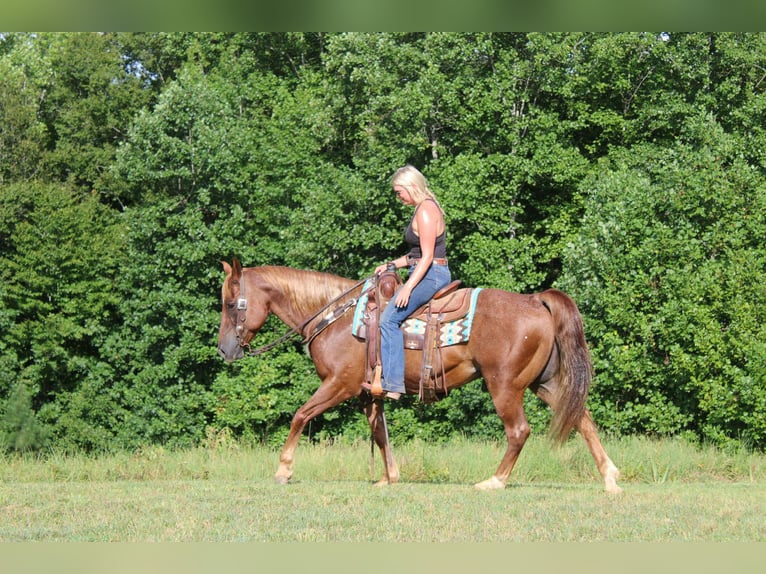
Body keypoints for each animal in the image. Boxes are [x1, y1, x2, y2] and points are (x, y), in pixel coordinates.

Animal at [217, 258, 622, 493]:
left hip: (505, 385)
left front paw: (283, 470)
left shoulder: (339, 385)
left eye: (230, 303)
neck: (337, 318)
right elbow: (380, 433)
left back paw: (495, 480)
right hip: (544, 382)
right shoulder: (367, 393)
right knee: (582, 418)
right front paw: (389, 477)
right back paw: (610, 477)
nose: (224, 350)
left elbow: (301, 415)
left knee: (519, 431)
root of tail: (535, 300)